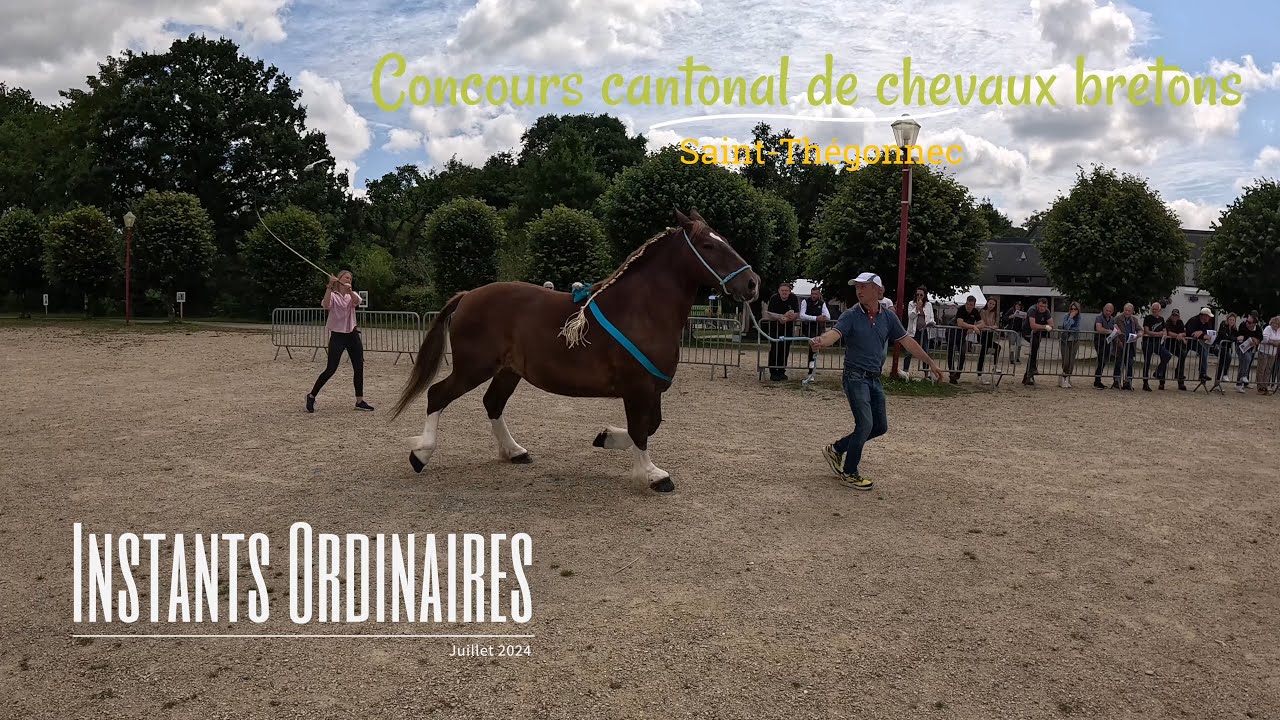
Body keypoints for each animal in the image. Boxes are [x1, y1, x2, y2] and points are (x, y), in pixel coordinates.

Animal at [388, 208, 762, 493]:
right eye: (707, 245)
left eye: (724, 240)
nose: (752, 283)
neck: (642, 309)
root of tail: (467, 295)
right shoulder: (638, 387)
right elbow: (641, 429)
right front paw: (652, 475)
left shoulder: (651, 388)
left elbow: (650, 425)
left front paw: (606, 438)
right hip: (474, 367)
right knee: (438, 394)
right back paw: (421, 455)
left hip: (508, 371)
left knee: (492, 403)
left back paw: (514, 451)